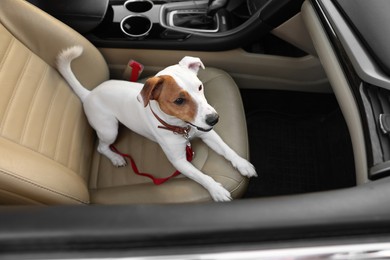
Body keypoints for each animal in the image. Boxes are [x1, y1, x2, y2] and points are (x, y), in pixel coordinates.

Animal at [56, 45, 258, 202]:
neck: (182, 127)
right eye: (179, 101)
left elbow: (226, 149)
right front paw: (216, 189)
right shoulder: (179, 161)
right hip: (109, 129)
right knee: (102, 146)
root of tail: (89, 94)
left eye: (200, 86)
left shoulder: (206, 132)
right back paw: (115, 157)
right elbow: (201, 176)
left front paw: (242, 164)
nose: (214, 119)